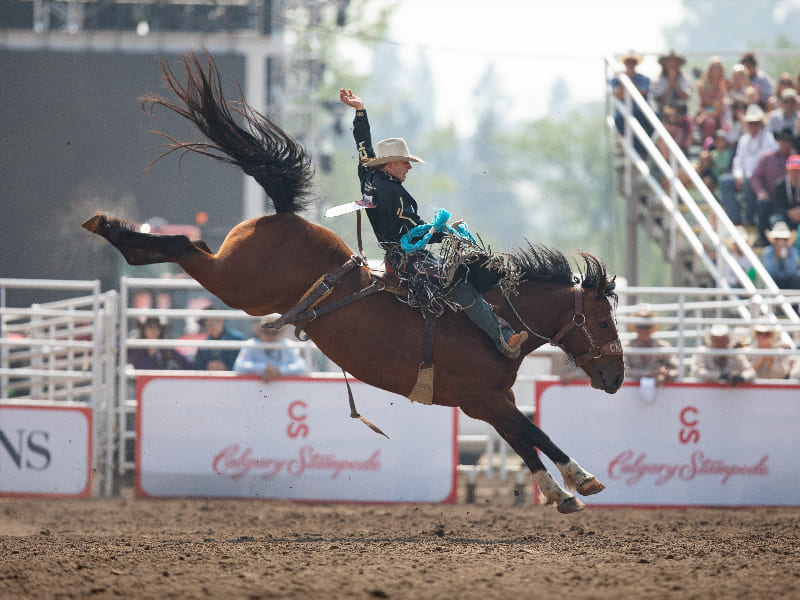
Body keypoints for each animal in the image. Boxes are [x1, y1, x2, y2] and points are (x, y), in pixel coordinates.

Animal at [83, 51, 624, 512]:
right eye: (601, 322)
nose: (616, 378)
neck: (494, 320)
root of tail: (282, 215)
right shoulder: (484, 399)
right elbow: (533, 435)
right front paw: (577, 483)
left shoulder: (489, 403)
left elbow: (529, 439)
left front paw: (566, 489)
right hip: (236, 283)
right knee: (183, 245)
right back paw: (114, 230)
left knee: (185, 245)